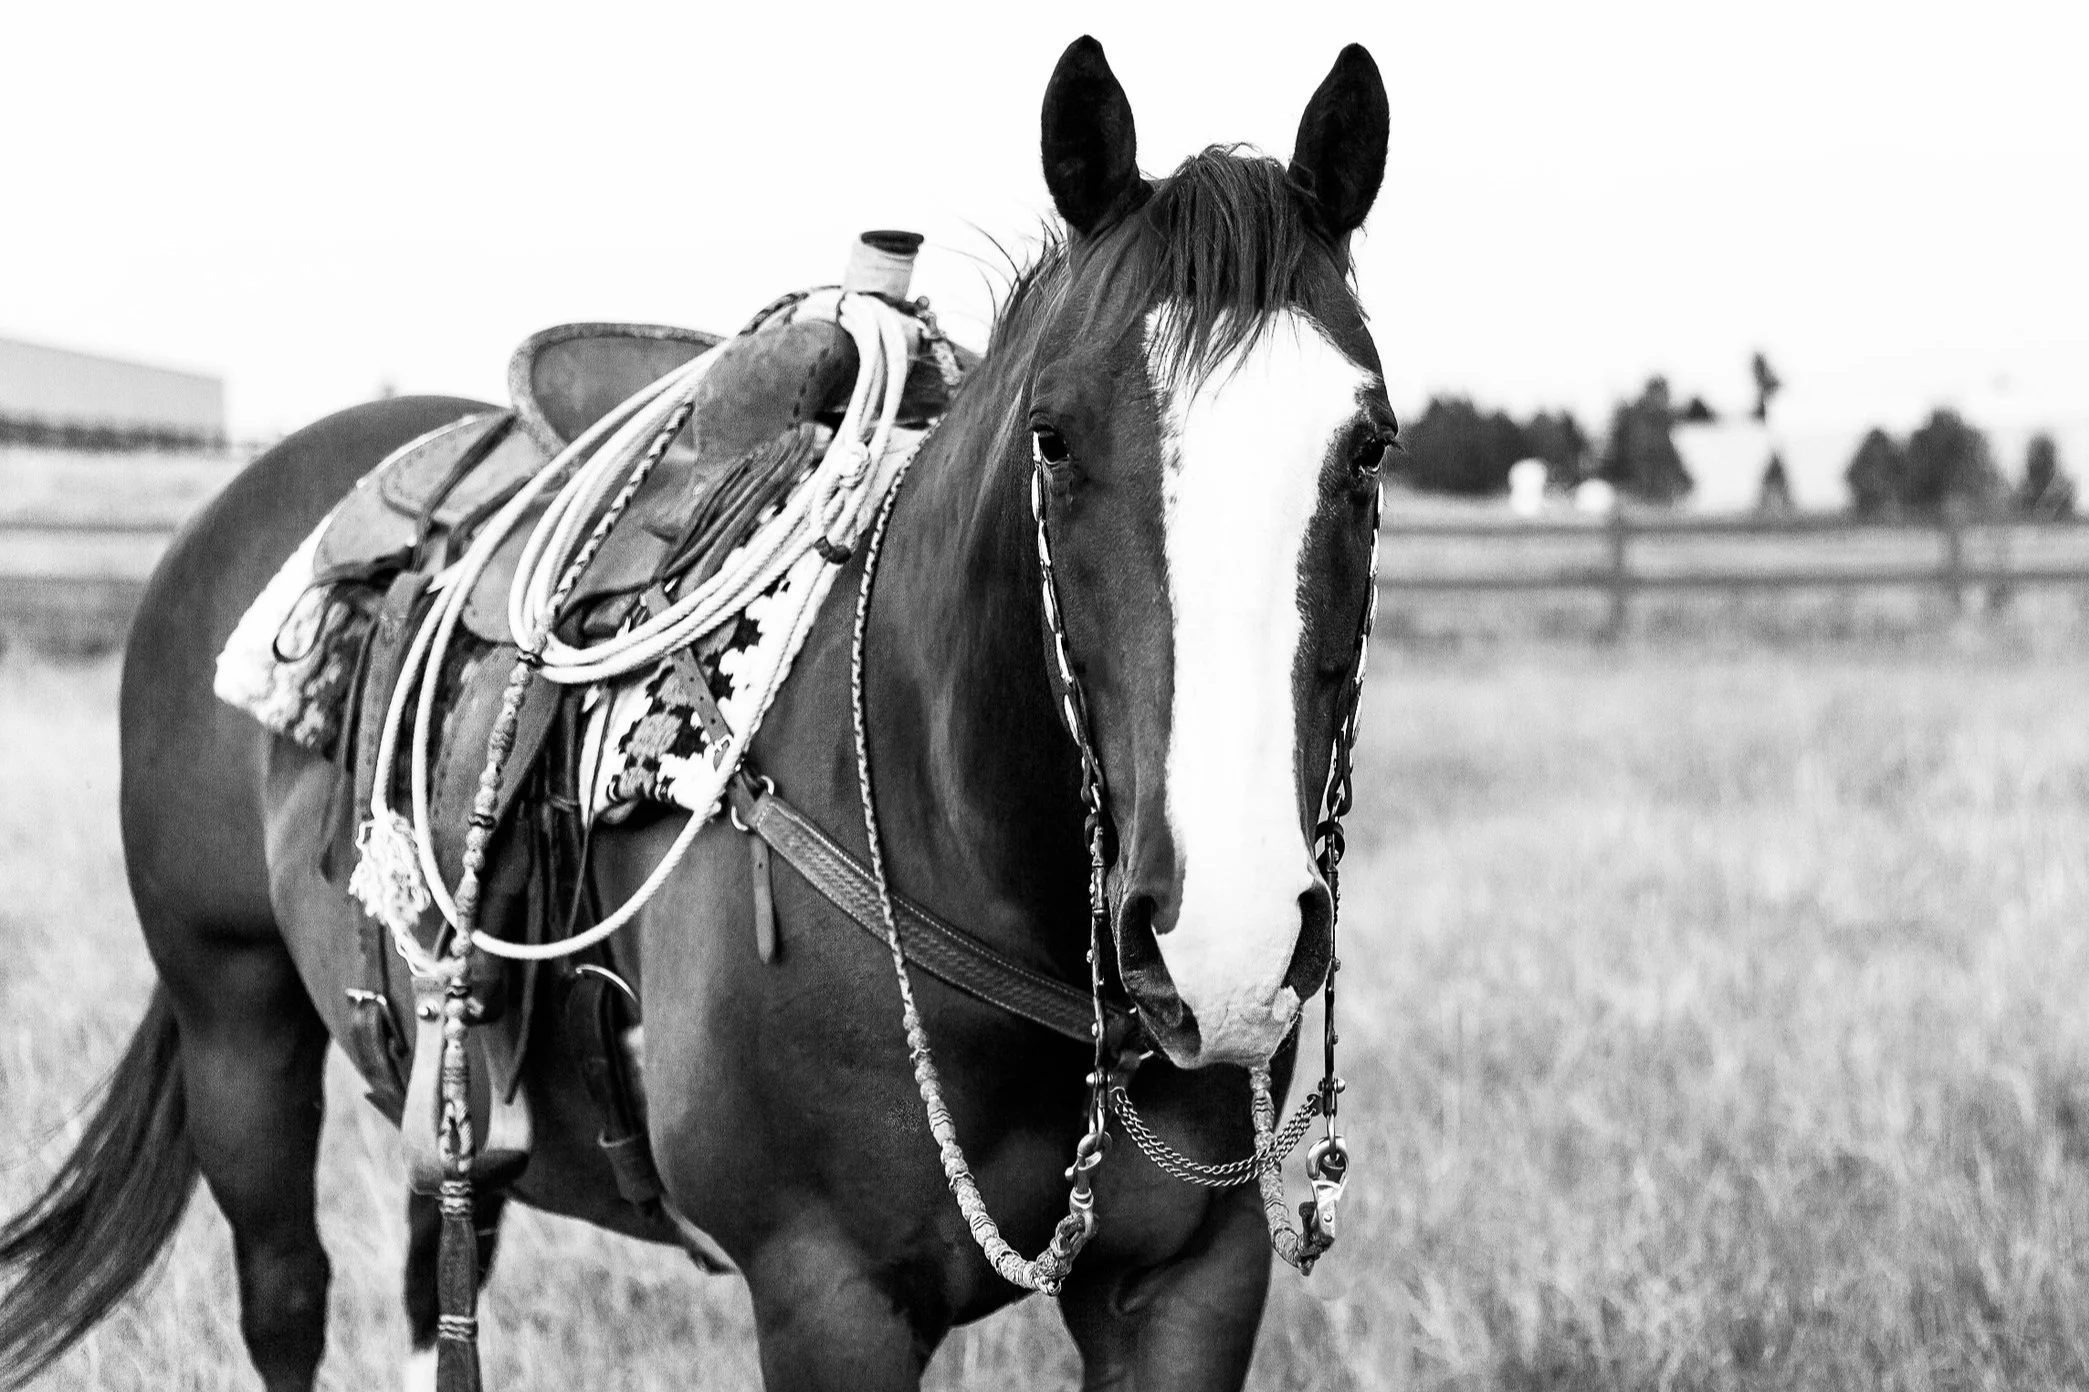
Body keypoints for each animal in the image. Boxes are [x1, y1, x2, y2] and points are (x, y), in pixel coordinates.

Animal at [0, 35, 1392, 1392]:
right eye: (1052, 436)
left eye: (1369, 446)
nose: (1225, 948)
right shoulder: (829, 1298)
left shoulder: (1189, 1287)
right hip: (233, 1020)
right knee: (285, 1295)